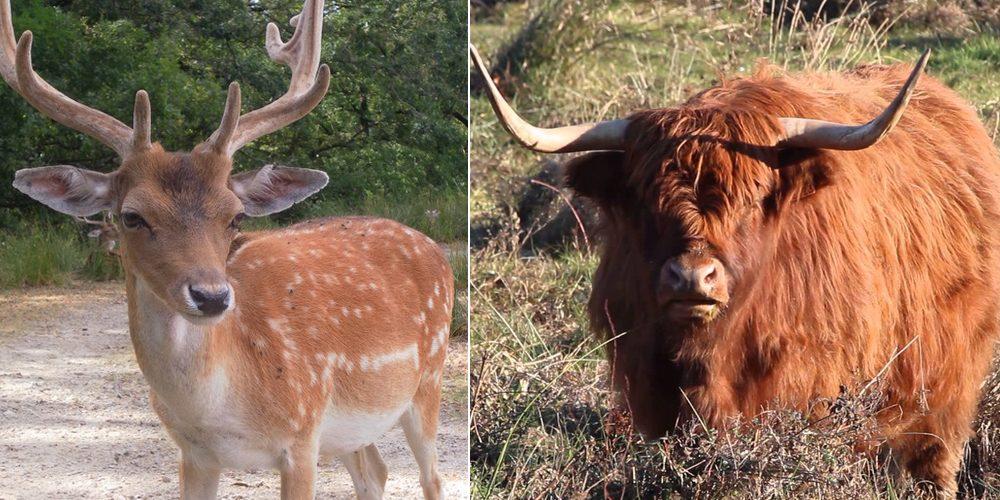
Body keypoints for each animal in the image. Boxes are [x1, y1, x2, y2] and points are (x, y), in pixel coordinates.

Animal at [471, 44, 1000, 496]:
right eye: (644, 201)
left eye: (751, 199)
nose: (691, 277)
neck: (713, 353)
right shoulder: (652, 387)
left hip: (946, 387)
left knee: (936, 457)